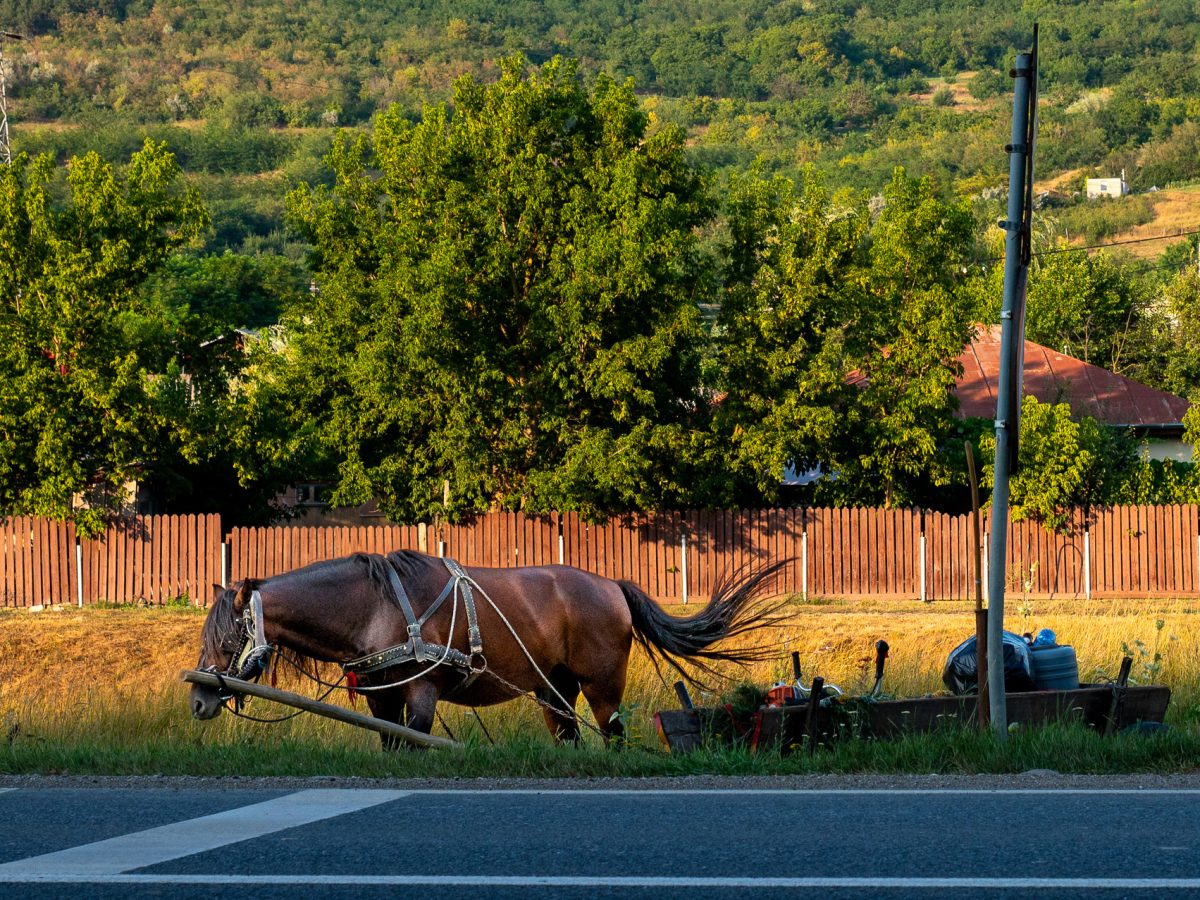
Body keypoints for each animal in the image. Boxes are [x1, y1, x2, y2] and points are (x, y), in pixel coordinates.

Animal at [190, 549, 782, 748]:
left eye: (227, 637)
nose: (197, 700)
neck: (377, 606)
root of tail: (612, 585)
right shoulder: (383, 696)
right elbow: (392, 747)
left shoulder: (421, 693)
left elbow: (416, 744)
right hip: (554, 690)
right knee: (569, 736)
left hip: (602, 685)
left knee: (613, 735)